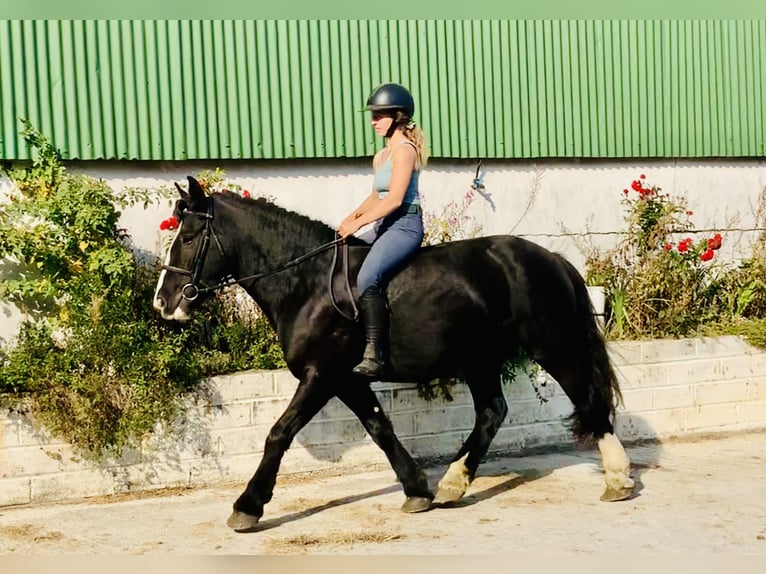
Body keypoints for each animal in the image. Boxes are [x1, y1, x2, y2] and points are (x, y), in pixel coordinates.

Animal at [154, 178, 636, 532]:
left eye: (190, 236)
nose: (164, 302)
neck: (307, 282)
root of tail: (548, 256)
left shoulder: (321, 374)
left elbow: (279, 433)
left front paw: (248, 506)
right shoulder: (347, 379)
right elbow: (380, 429)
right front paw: (417, 490)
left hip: (553, 347)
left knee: (589, 401)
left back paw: (618, 480)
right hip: (479, 358)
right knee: (491, 412)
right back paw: (453, 484)